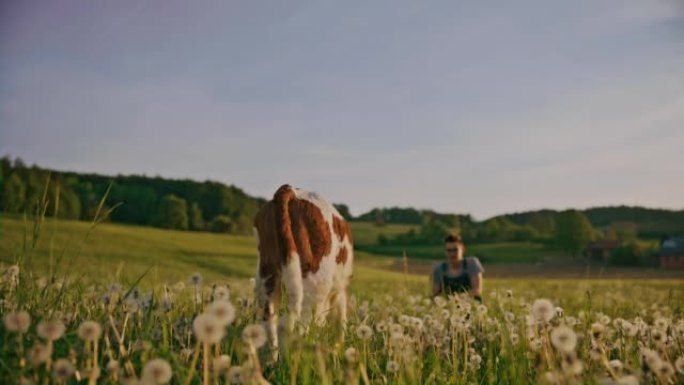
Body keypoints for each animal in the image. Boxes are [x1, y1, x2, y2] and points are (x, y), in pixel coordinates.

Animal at [254, 184, 356, 350]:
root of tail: (289, 189)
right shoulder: (340, 289)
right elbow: (341, 320)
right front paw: (339, 347)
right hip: (313, 285)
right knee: (293, 326)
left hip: (266, 277)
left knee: (269, 324)